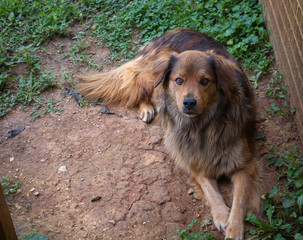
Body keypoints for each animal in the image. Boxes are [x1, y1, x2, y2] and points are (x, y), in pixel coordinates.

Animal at [78, 27, 262, 238]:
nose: (189, 103)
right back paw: (146, 108)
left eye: (205, 81)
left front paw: (234, 229)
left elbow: (239, 201)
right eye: (179, 80)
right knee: (140, 90)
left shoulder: (245, 166)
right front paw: (222, 216)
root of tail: (172, 31)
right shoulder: (194, 163)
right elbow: (211, 192)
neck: (202, 126)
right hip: (153, 78)